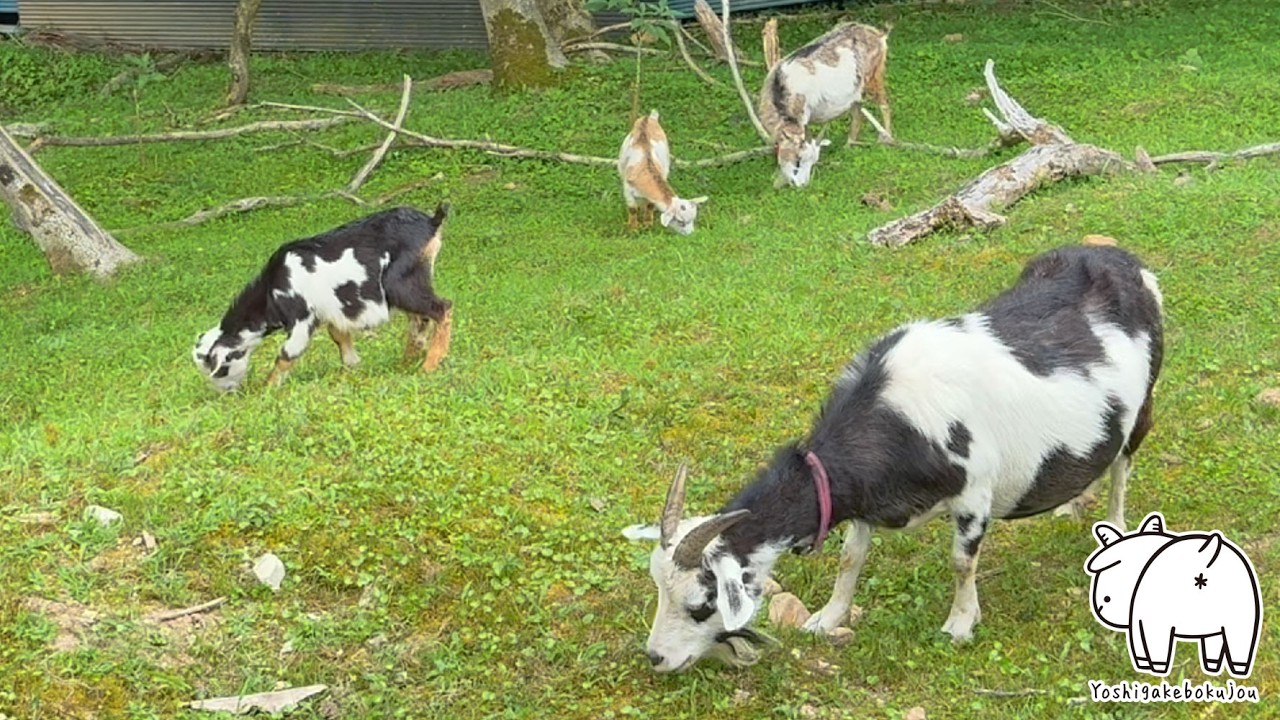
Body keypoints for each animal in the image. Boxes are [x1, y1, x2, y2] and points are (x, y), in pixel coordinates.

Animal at [192, 204, 453, 392]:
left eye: (221, 369)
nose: (226, 393)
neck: (271, 292)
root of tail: (431, 222)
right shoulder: (330, 313)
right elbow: (338, 336)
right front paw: (351, 369)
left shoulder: (301, 318)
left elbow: (287, 353)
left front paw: (266, 389)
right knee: (420, 320)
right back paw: (407, 363)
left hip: (400, 284)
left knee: (442, 308)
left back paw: (429, 365)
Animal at [622, 241, 1164, 672]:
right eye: (657, 588)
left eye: (701, 603)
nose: (656, 658)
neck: (897, 414)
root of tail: (1124, 259)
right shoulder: (865, 498)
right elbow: (850, 558)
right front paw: (827, 618)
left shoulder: (975, 492)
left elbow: (961, 562)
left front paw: (960, 624)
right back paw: (1072, 503)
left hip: (1142, 408)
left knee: (1122, 466)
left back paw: (1116, 528)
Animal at [758, 23, 892, 188]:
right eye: (798, 161)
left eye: (812, 162)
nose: (803, 185)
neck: (781, 86)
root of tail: (877, 34)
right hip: (855, 90)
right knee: (857, 114)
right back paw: (849, 145)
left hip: (873, 76)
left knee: (884, 105)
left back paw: (887, 139)